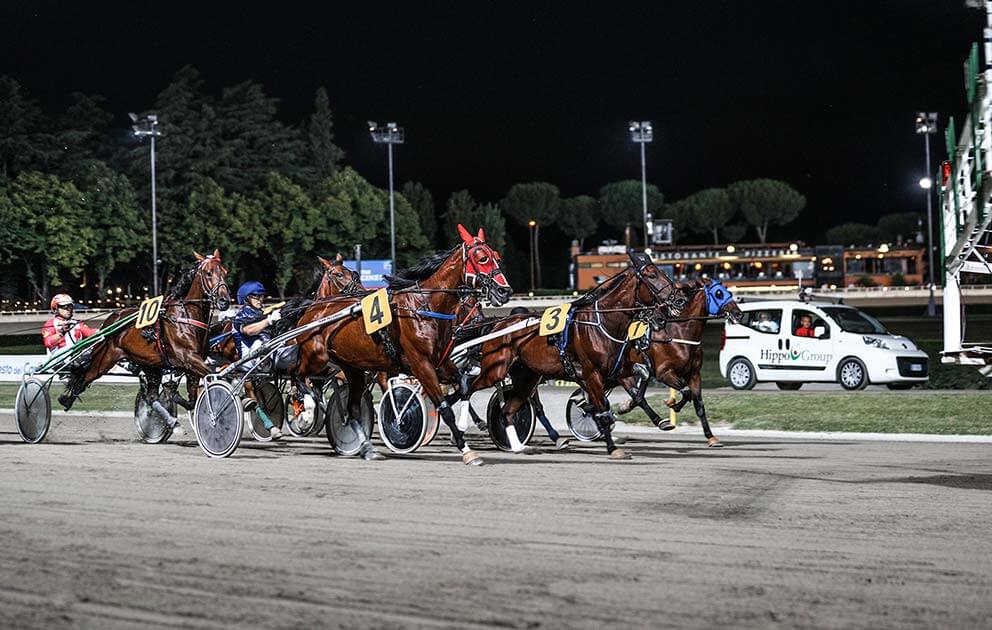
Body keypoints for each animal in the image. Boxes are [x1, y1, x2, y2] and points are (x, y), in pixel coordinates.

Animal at [60, 251, 232, 424]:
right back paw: (66, 400)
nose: (224, 301)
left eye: (225, 272)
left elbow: (192, 401)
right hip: (103, 360)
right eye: (208, 273)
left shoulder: (191, 366)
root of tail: (110, 320)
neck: (184, 317)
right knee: (83, 378)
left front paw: (175, 395)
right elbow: (212, 374)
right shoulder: (189, 358)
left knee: (151, 396)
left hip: (150, 364)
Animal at [282, 227, 508, 464]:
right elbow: (444, 408)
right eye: (482, 258)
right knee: (295, 374)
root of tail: (312, 309)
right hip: (316, 357)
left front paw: (465, 428)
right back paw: (306, 411)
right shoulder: (421, 365)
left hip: (352, 368)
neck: (425, 307)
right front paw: (466, 450)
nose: (505, 291)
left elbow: (464, 386)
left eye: (496, 257)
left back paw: (367, 448)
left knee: (352, 409)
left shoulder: (441, 363)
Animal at [462, 254, 680, 462]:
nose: (678, 300)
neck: (602, 323)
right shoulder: (592, 374)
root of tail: (497, 325)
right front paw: (613, 447)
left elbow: (640, 376)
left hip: (527, 377)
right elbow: (602, 410)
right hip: (495, 370)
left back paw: (518, 446)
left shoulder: (615, 369)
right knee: (467, 389)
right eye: (652, 275)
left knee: (507, 410)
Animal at [616, 280, 740, 450]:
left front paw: (711, 437)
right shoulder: (664, 373)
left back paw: (630, 408)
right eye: (719, 293)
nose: (738, 313)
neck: (680, 334)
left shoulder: (694, 374)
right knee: (638, 397)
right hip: (623, 374)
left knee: (639, 396)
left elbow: (699, 404)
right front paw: (672, 404)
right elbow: (687, 392)